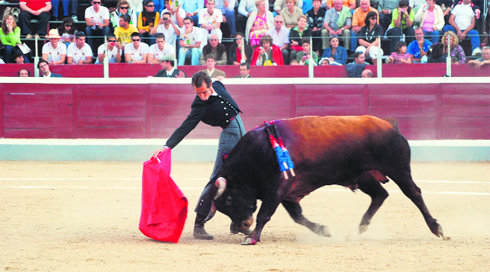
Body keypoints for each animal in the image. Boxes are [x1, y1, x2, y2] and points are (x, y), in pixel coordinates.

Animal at [207, 115, 448, 244]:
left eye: (228, 200)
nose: (238, 226)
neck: (260, 152)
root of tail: (389, 125)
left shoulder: (278, 188)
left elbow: (265, 214)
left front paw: (252, 238)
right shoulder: (288, 193)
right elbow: (298, 217)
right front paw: (324, 230)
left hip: (398, 169)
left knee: (413, 193)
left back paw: (437, 229)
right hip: (364, 176)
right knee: (380, 194)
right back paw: (358, 229)